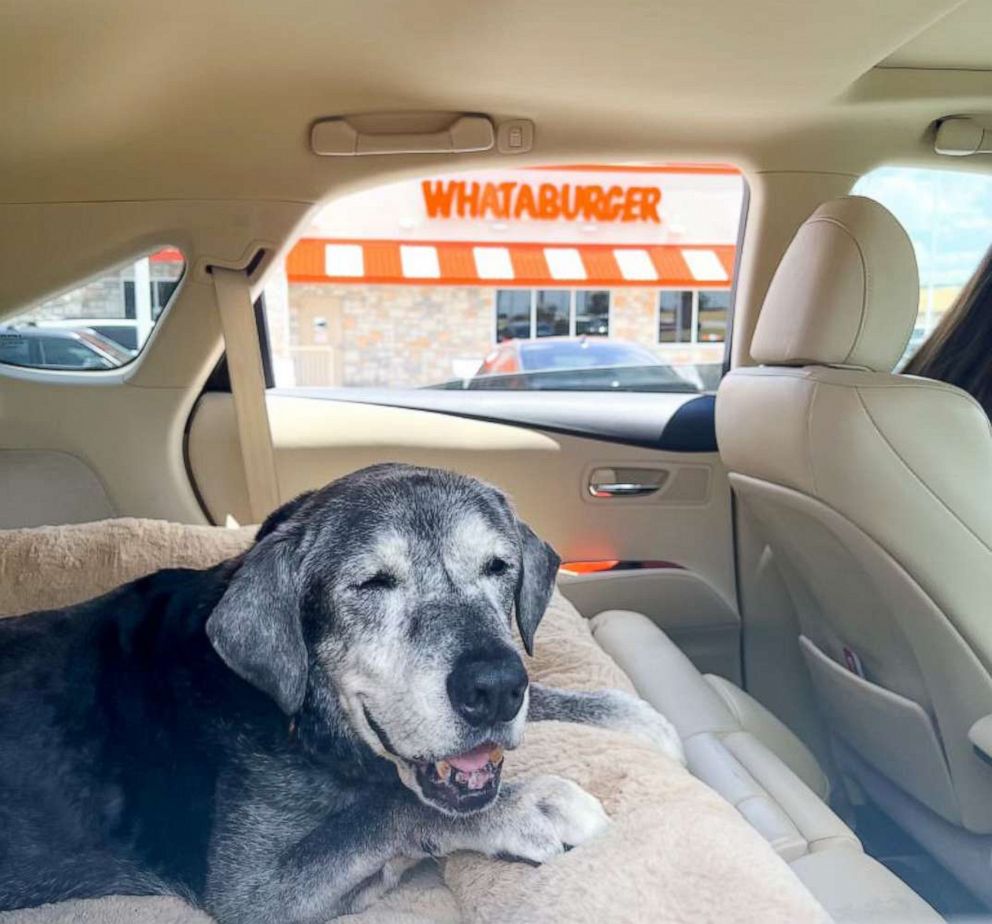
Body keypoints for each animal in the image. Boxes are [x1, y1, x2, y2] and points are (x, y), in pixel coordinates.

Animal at [0, 466, 680, 920]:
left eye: (498, 567)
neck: (300, 717)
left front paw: (632, 716)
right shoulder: (253, 890)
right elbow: (382, 811)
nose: (494, 688)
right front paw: (531, 803)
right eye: (373, 582)